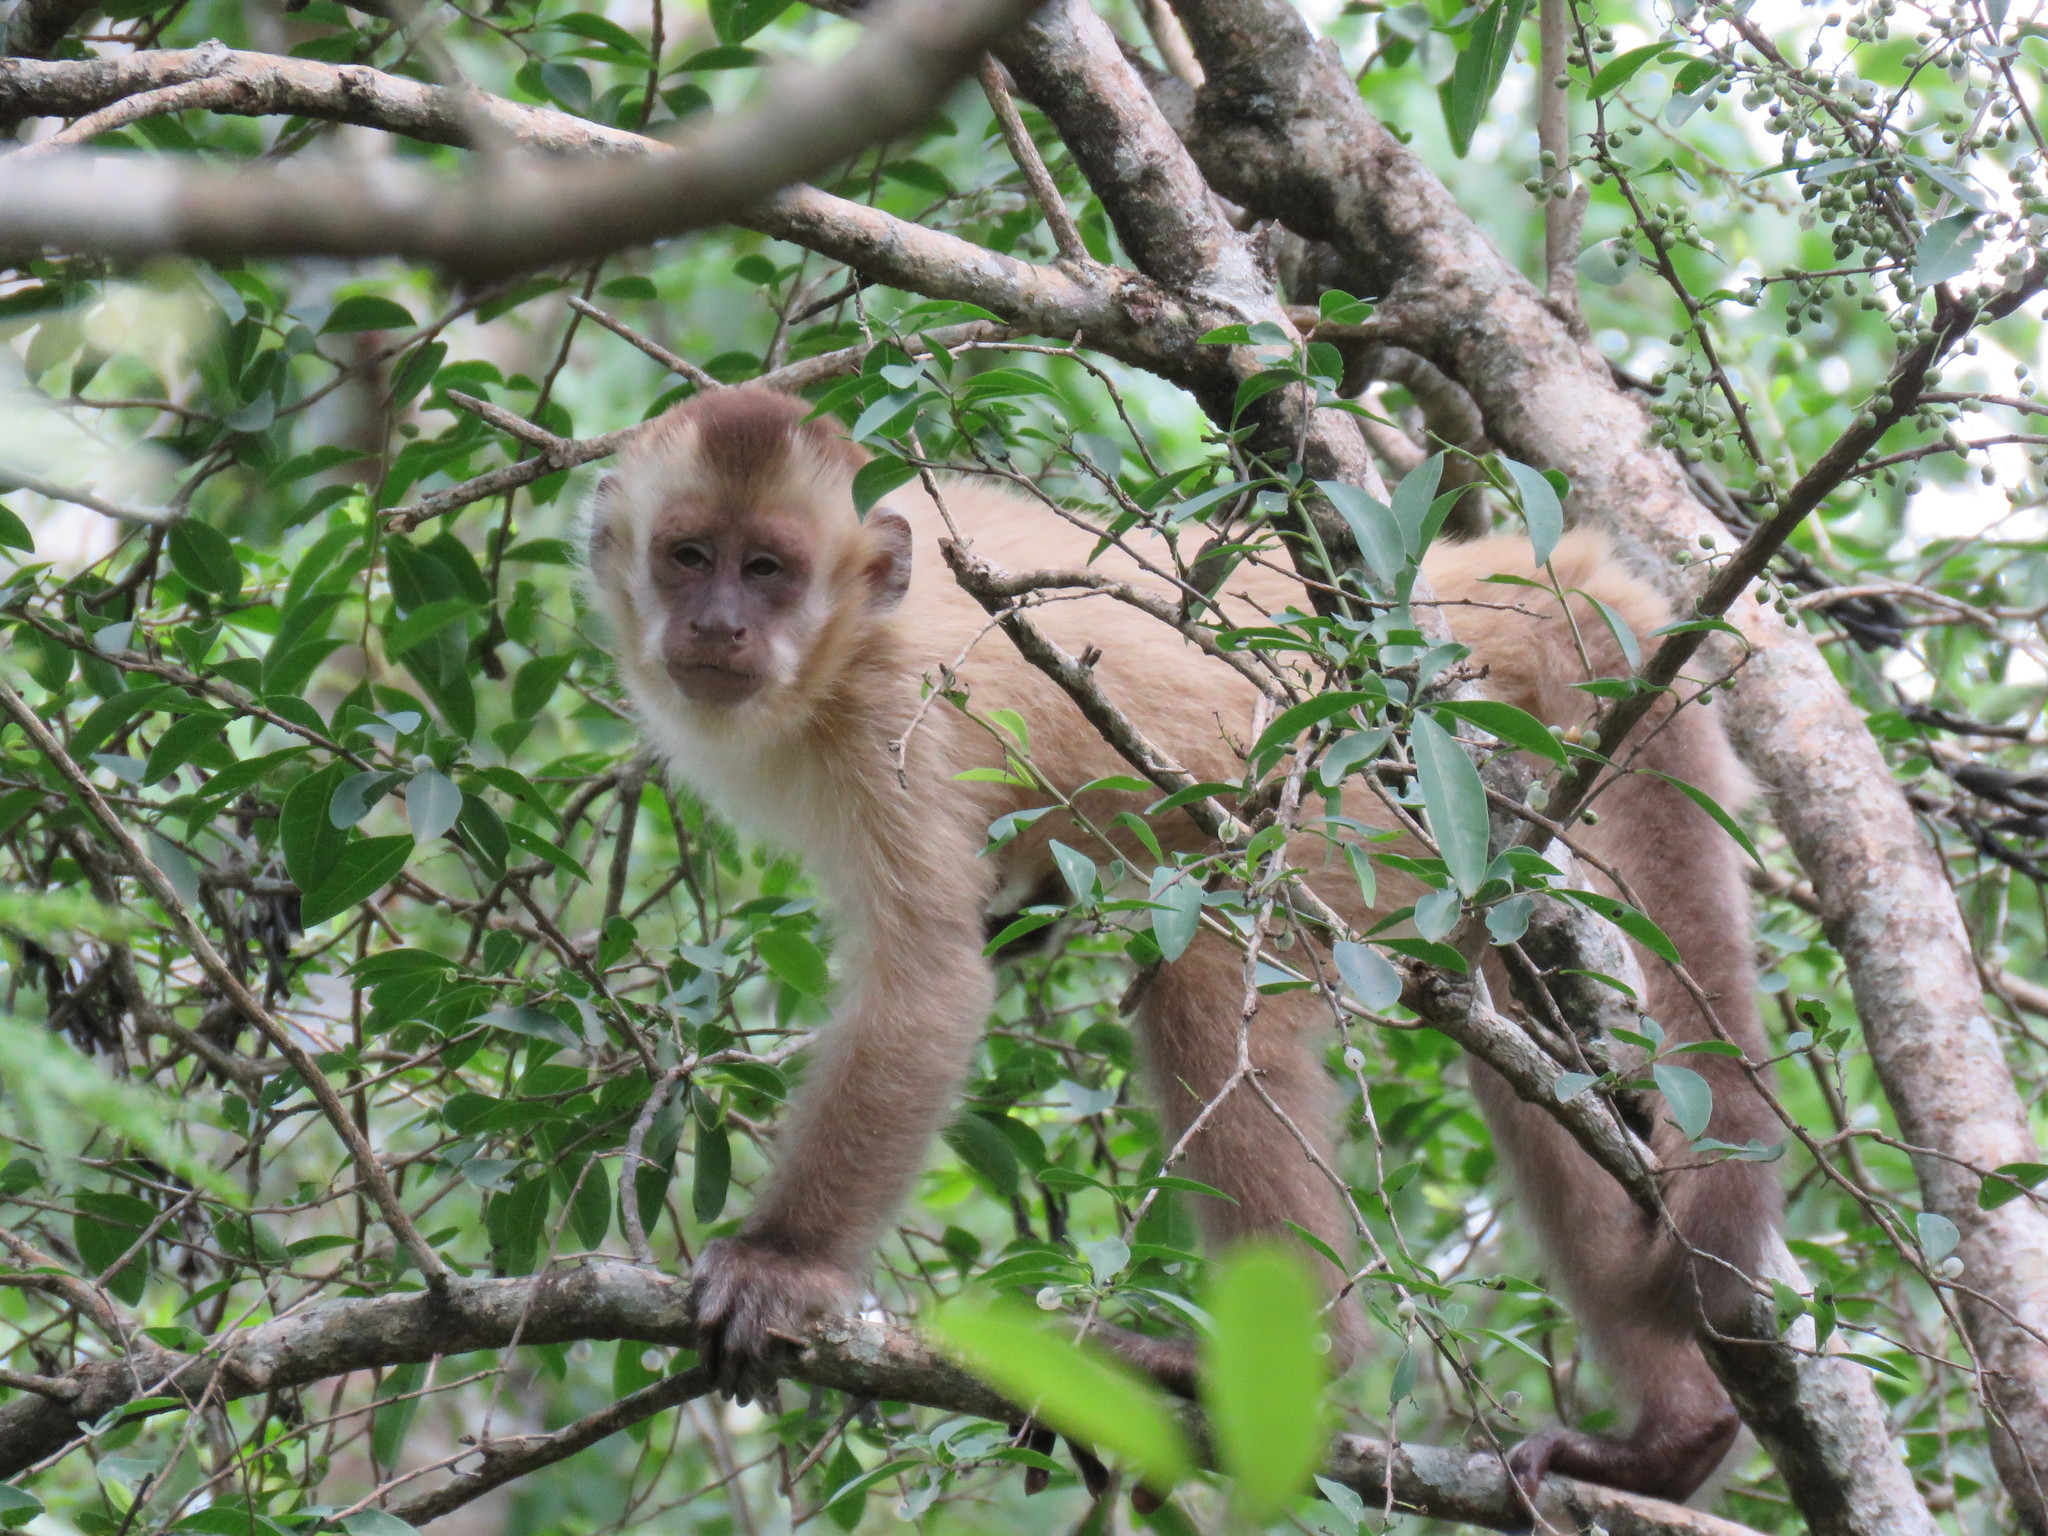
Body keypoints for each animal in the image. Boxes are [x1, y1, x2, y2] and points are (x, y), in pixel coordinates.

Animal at [577, 385, 1777, 1507]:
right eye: (688, 558)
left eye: (768, 569)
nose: (718, 625)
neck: (840, 651)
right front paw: (1024, 916)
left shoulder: (894, 717)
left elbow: (929, 987)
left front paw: (787, 1267)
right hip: (1472, 826)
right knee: (1522, 1041)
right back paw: (1676, 1436)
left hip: (1361, 784)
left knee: (1207, 967)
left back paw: (1280, 1363)